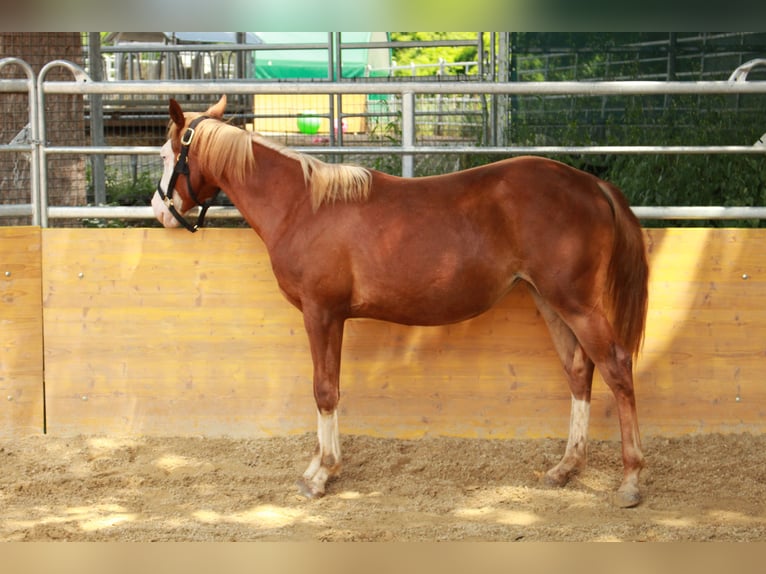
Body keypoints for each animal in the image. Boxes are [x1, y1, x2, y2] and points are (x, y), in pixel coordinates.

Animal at [153, 95, 652, 508]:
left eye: (164, 155)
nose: (160, 212)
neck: (303, 206)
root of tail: (590, 184)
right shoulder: (333, 317)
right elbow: (330, 388)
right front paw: (321, 465)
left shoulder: (321, 313)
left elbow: (323, 390)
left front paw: (320, 475)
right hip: (551, 302)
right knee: (579, 372)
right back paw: (565, 469)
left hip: (577, 304)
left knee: (616, 367)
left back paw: (630, 481)